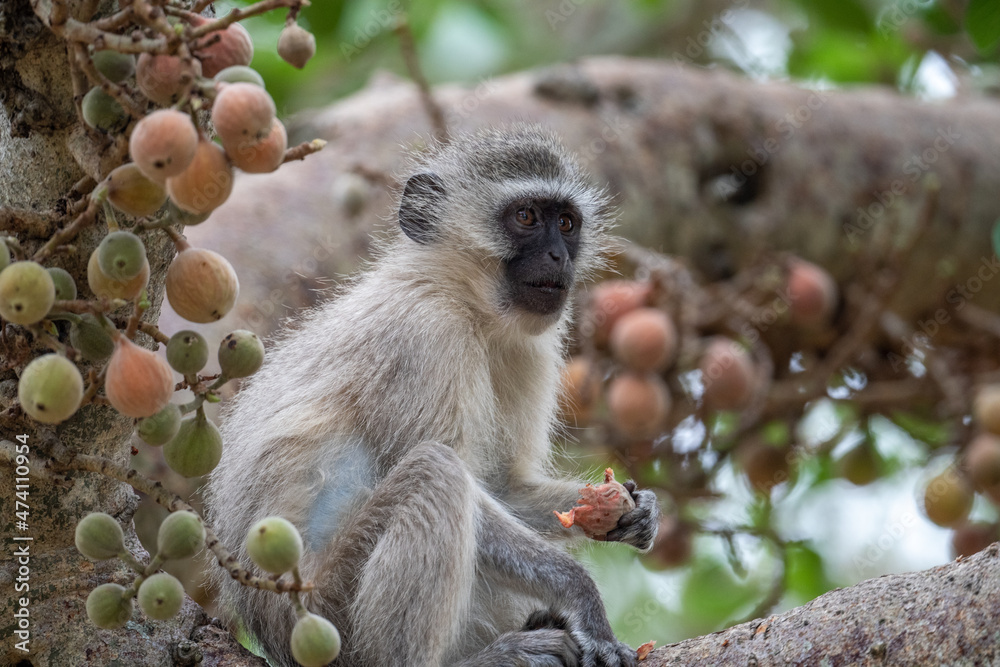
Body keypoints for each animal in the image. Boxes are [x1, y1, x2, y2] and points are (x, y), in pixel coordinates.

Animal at [205, 126, 661, 667]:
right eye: (526, 217)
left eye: (567, 223)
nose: (559, 257)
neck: (464, 300)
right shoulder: (426, 334)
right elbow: (462, 482)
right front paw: (582, 595)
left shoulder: (531, 349)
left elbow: (502, 486)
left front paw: (633, 509)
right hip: (329, 613)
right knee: (435, 472)